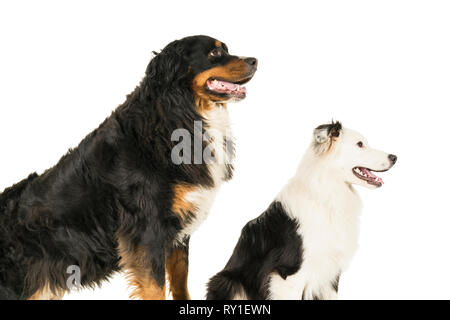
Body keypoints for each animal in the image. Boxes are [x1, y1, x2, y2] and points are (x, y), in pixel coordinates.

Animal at [0, 35, 256, 300]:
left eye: (226, 49)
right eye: (215, 53)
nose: (254, 61)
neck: (177, 116)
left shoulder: (178, 230)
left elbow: (180, 281)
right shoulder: (148, 230)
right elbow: (155, 287)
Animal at [207, 121, 398, 298]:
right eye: (360, 144)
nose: (394, 157)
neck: (328, 193)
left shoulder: (330, 274)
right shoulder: (288, 274)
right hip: (228, 281)